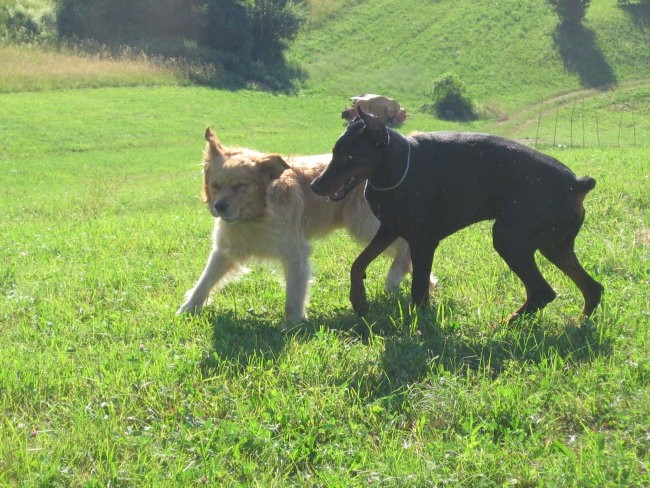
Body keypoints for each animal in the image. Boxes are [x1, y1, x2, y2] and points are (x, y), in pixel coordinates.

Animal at [177, 127, 432, 322]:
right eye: (215, 185)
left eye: (240, 186)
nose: (218, 207)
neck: (256, 215)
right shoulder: (224, 250)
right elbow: (204, 282)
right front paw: (186, 310)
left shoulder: (295, 253)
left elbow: (294, 295)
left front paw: (292, 325)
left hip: (366, 226)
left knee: (405, 247)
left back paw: (396, 276)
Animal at [310, 109, 604, 324]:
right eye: (335, 152)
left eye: (350, 155)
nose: (315, 185)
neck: (398, 168)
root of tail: (577, 184)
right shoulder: (390, 228)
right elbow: (358, 263)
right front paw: (358, 299)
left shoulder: (423, 242)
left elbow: (418, 289)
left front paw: (422, 325)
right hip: (553, 245)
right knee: (592, 287)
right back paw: (580, 324)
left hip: (510, 238)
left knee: (543, 291)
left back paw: (506, 325)